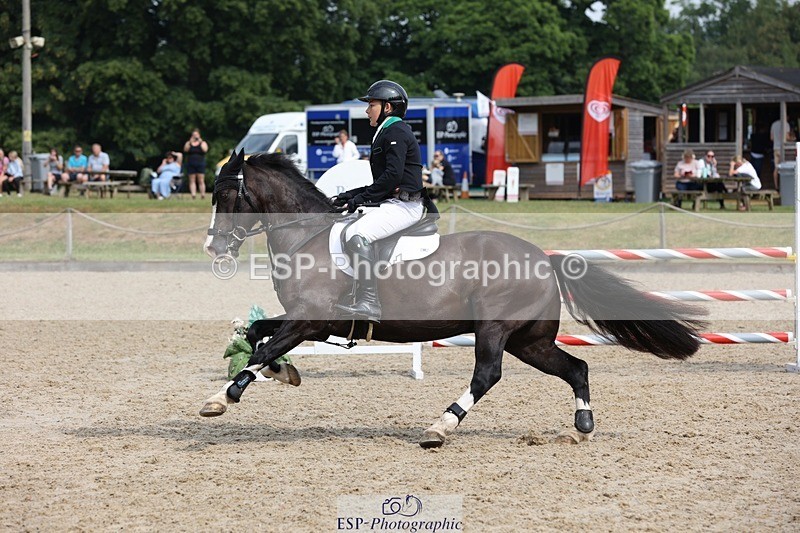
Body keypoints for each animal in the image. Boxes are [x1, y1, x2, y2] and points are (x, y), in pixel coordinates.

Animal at [201, 149, 705, 447]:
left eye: (225, 194)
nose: (214, 248)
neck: (307, 235)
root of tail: (543, 258)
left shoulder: (310, 319)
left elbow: (262, 348)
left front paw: (223, 397)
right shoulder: (310, 320)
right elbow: (257, 333)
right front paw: (283, 373)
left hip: (496, 330)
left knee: (487, 375)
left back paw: (440, 427)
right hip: (529, 341)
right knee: (576, 367)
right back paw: (582, 426)